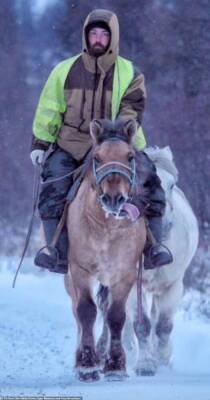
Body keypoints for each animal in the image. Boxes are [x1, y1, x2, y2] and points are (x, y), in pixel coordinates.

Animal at [97, 145, 199, 376]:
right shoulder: (134, 285)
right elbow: (141, 324)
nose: (164, 223)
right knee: (112, 313)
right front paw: (145, 364)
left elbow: (163, 326)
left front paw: (162, 359)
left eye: (172, 184)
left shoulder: (173, 286)